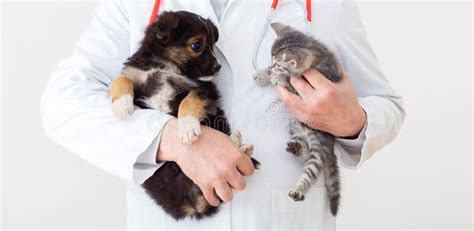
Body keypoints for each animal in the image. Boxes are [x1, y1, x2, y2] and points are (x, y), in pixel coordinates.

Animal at [108, 10, 260, 220]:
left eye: (212, 45)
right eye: (196, 45)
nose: (218, 67)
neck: (166, 67)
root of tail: (194, 205)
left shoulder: (203, 89)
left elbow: (189, 101)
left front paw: (187, 127)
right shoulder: (138, 74)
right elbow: (122, 78)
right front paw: (121, 105)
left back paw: (239, 145)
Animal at [254, 22, 342, 216]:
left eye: (278, 63)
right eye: (271, 57)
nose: (270, 66)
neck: (316, 51)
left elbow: (288, 82)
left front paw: (276, 77)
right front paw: (263, 74)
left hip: (319, 141)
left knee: (313, 166)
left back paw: (299, 189)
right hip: (294, 126)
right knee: (305, 151)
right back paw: (298, 149)